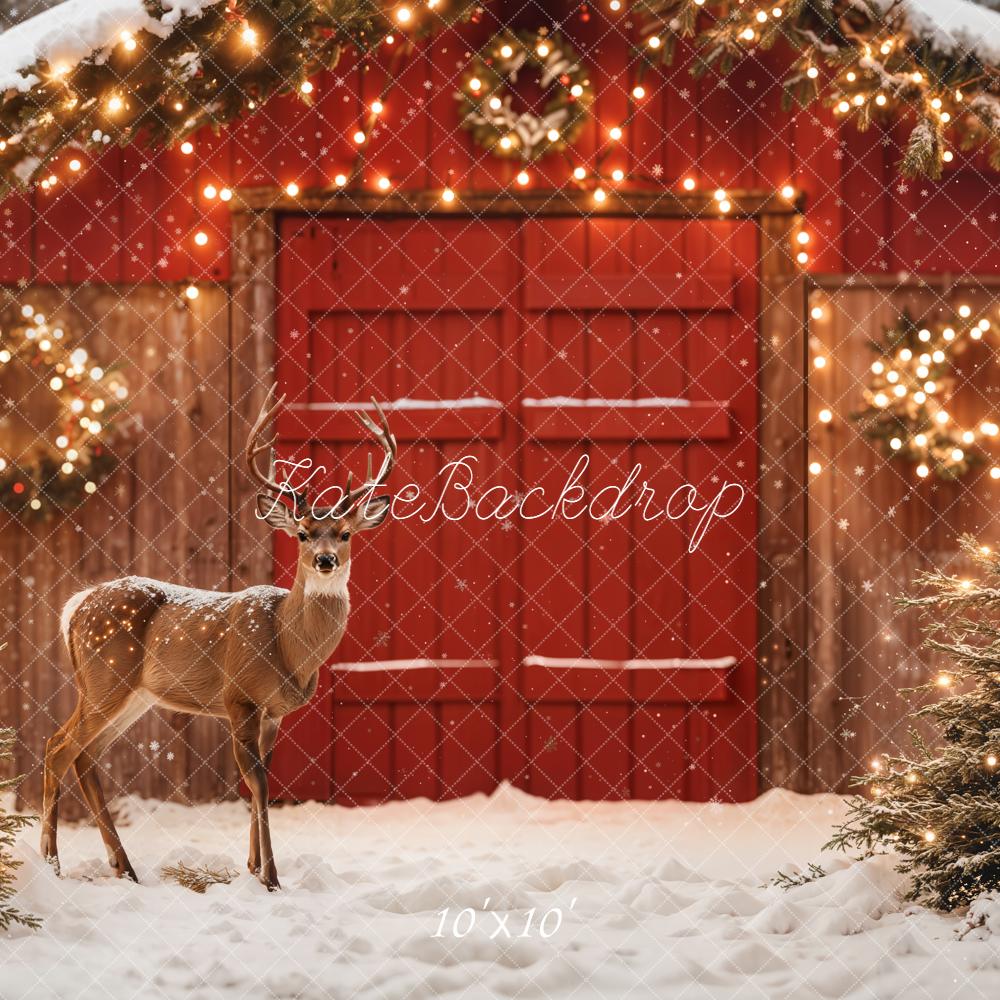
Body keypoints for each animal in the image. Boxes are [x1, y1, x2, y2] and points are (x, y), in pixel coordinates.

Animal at [40, 387, 396, 890]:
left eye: (345, 534)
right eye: (302, 533)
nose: (325, 560)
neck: (288, 644)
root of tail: (76, 605)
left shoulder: (272, 712)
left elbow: (261, 778)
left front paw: (252, 867)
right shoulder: (239, 696)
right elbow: (258, 782)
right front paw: (270, 877)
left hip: (132, 694)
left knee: (85, 757)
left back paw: (123, 867)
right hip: (103, 680)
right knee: (59, 747)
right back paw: (51, 864)